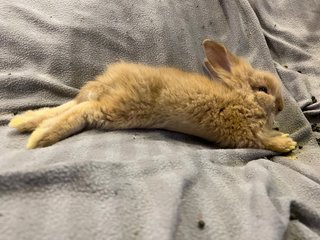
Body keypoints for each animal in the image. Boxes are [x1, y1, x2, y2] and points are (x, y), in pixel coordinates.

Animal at [8, 39, 298, 152]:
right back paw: (39, 137)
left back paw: (23, 122)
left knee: (70, 105)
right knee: (83, 110)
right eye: (263, 90)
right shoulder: (240, 133)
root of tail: (107, 81)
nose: (281, 106)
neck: (241, 98)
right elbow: (261, 140)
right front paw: (287, 143)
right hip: (120, 109)